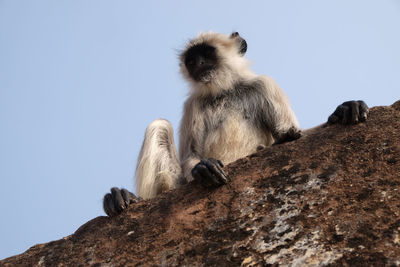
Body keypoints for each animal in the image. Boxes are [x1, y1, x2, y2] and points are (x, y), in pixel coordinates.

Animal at [103, 31, 368, 218]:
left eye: (207, 53)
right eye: (191, 59)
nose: (197, 63)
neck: (225, 91)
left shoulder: (265, 85)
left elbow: (290, 134)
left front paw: (343, 111)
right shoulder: (193, 104)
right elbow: (192, 155)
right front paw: (203, 167)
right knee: (159, 126)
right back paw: (127, 199)